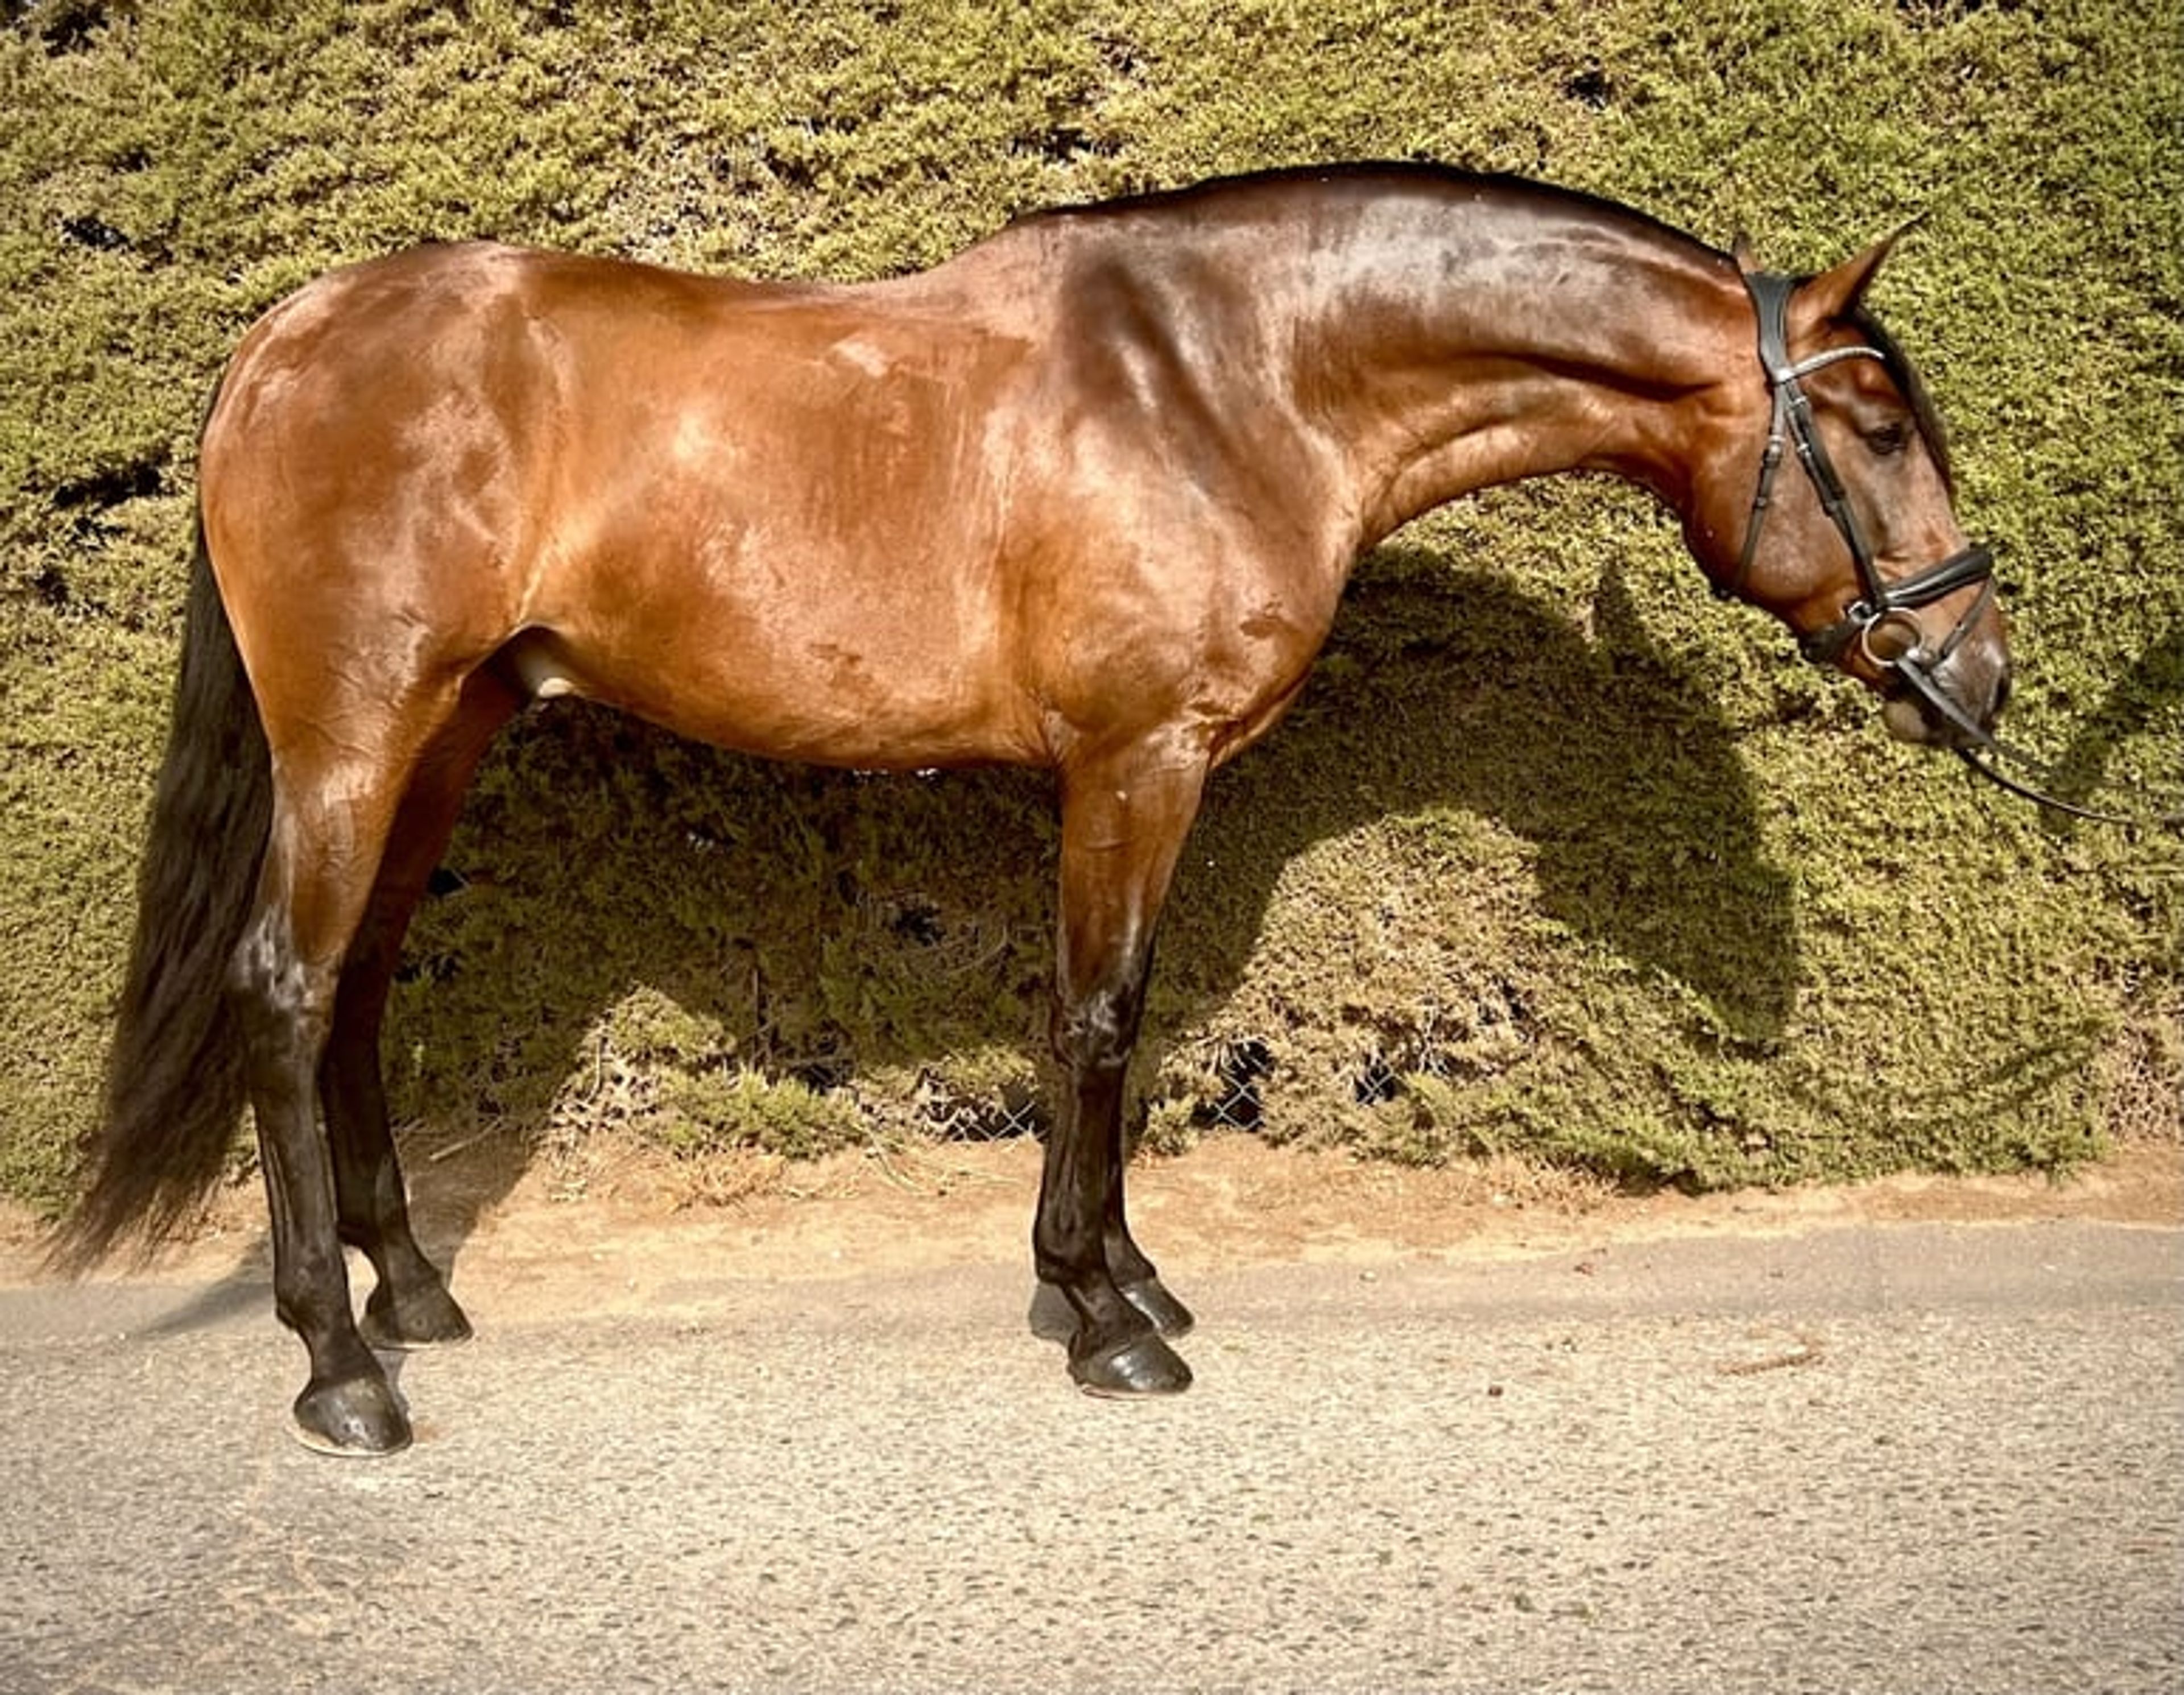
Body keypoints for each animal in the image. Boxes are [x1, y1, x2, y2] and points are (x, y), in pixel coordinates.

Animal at [57, 164, 2009, 1455]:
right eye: (1877, 425)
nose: (1976, 672)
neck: (1233, 381)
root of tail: (283, 338)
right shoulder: (1133, 760)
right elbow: (1094, 1019)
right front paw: (1099, 1318)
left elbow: (1111, 1027)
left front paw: (1129, 1279)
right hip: (354, 736)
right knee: (285, 991)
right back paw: (340, 1370)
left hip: (445, 732)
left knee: (361, 990)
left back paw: (415, 1294)